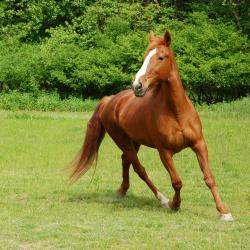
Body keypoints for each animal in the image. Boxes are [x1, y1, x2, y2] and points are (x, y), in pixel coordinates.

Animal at [70, 30, 232, 221]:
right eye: (145, 56)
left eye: (160, 57)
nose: (137, 85)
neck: (176, 113)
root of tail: (110, 100)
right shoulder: (165, 152)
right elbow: (177, 181)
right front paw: (174, 204)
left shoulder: (199, 145)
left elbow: (209, 178)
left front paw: (224, 212)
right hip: (122, 141)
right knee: (139, 169)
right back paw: (162, 199)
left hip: (135, 141)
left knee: (125, 161)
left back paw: (122, 190)